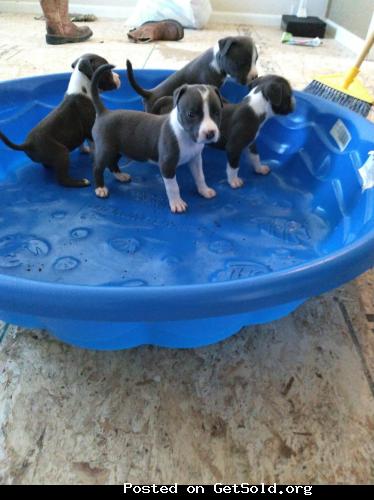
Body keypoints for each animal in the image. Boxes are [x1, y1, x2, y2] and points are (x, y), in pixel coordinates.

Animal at [0, 53, 120, 188]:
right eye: (107, 70)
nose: (119, 76)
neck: (82, 88)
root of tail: (27, 144)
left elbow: (83, 142)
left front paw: (84, 150)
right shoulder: (90, 128)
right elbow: (93, 144)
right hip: (61, 152)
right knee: (62, 180)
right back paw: (80, 182)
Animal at [91, 64, 222, 213]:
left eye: (216, 113)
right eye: (191, 114)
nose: (210, 133)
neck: (185, 135)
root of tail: (104, 112)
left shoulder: (195, 159)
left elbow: (200, 176)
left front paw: (204, 190)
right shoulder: (167, 166)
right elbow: (173, 187)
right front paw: (177, 203)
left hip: (118, 149)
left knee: (112, 163)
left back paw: (120, 176)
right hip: (106, 149)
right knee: (98, 167)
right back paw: (100, 188)